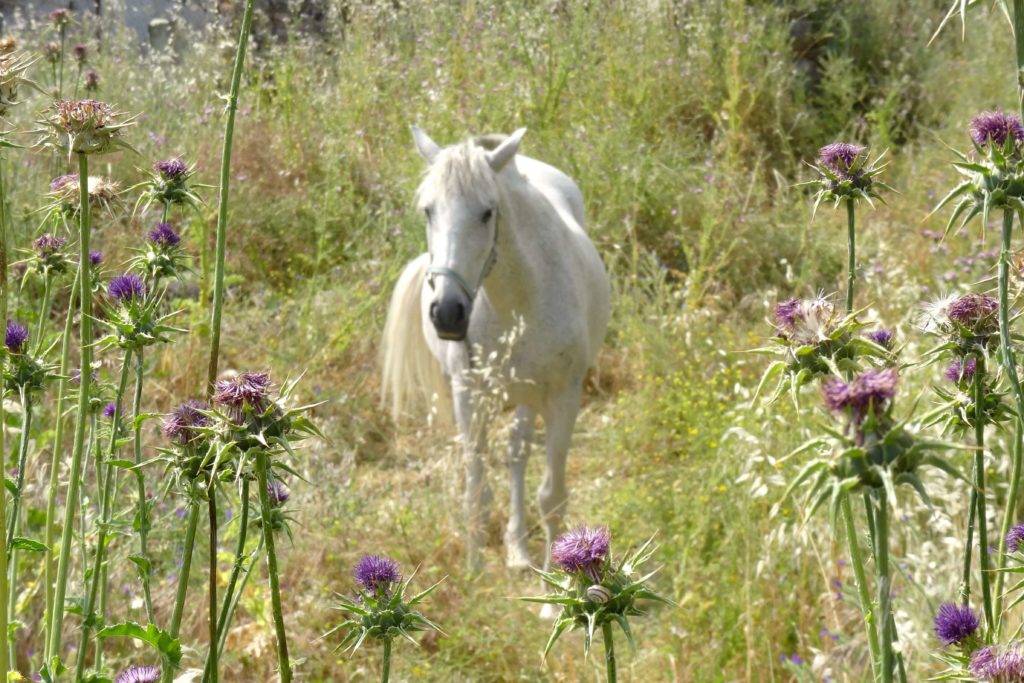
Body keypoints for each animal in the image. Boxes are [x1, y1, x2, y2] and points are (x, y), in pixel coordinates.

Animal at [382, 125, 606, 569]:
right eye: (428, 211)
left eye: (487, 212)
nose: (447, 313)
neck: (517, 301)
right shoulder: (468, 397)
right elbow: (477, 494)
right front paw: (472, 570)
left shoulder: (564, 397)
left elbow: (552, 499)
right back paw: (515, 549)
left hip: (529, 396)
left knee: (517, 454)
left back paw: (519, 550)